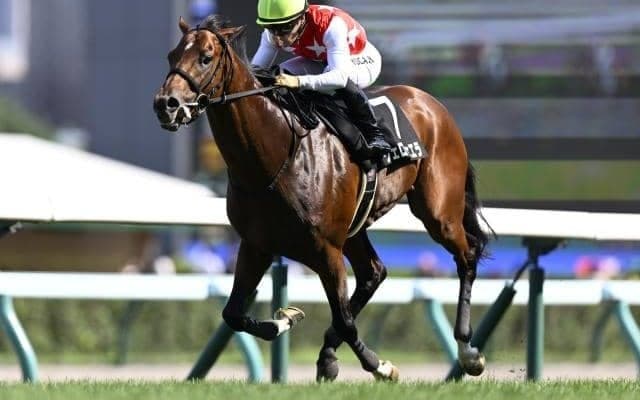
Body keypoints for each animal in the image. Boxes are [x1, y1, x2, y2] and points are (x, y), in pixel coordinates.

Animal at [153, 15, 490, 382]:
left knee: (466, 255)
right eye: (171, 55)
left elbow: (345, 320)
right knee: (373, 273)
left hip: (438, 212)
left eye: (205, 57)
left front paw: (380, 366)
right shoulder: (256, 244)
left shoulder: (327, 249)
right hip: (356, 226)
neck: (273, 157)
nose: (165, 105)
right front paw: (283, 320)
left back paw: (468, 351)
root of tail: (431, 103)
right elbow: (233, 314)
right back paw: (327, 353)